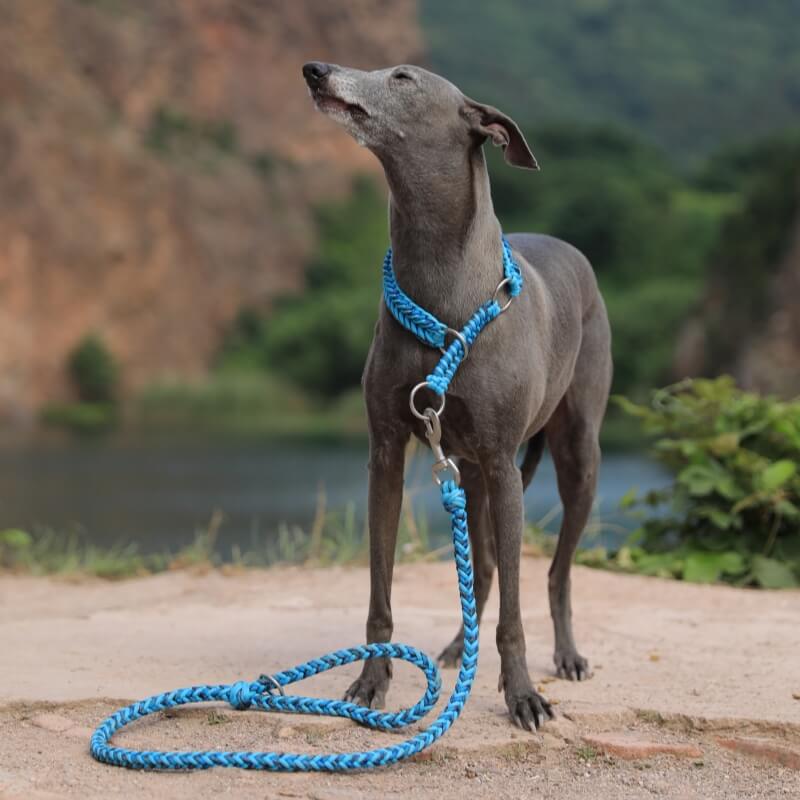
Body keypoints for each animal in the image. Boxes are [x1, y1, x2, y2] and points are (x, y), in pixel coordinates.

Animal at [302, 59, 612, 728]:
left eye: (402, 77)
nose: (315, 71)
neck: (442, 285)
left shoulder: (500, 461)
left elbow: (516, 612)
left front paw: (522, 695)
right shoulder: (387, 456)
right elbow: (381, 593)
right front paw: (371, 683)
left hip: (576, 455)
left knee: (557, 572)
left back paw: (567, 656)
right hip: (466, 472)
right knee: (489, 566)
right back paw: (454, 647)